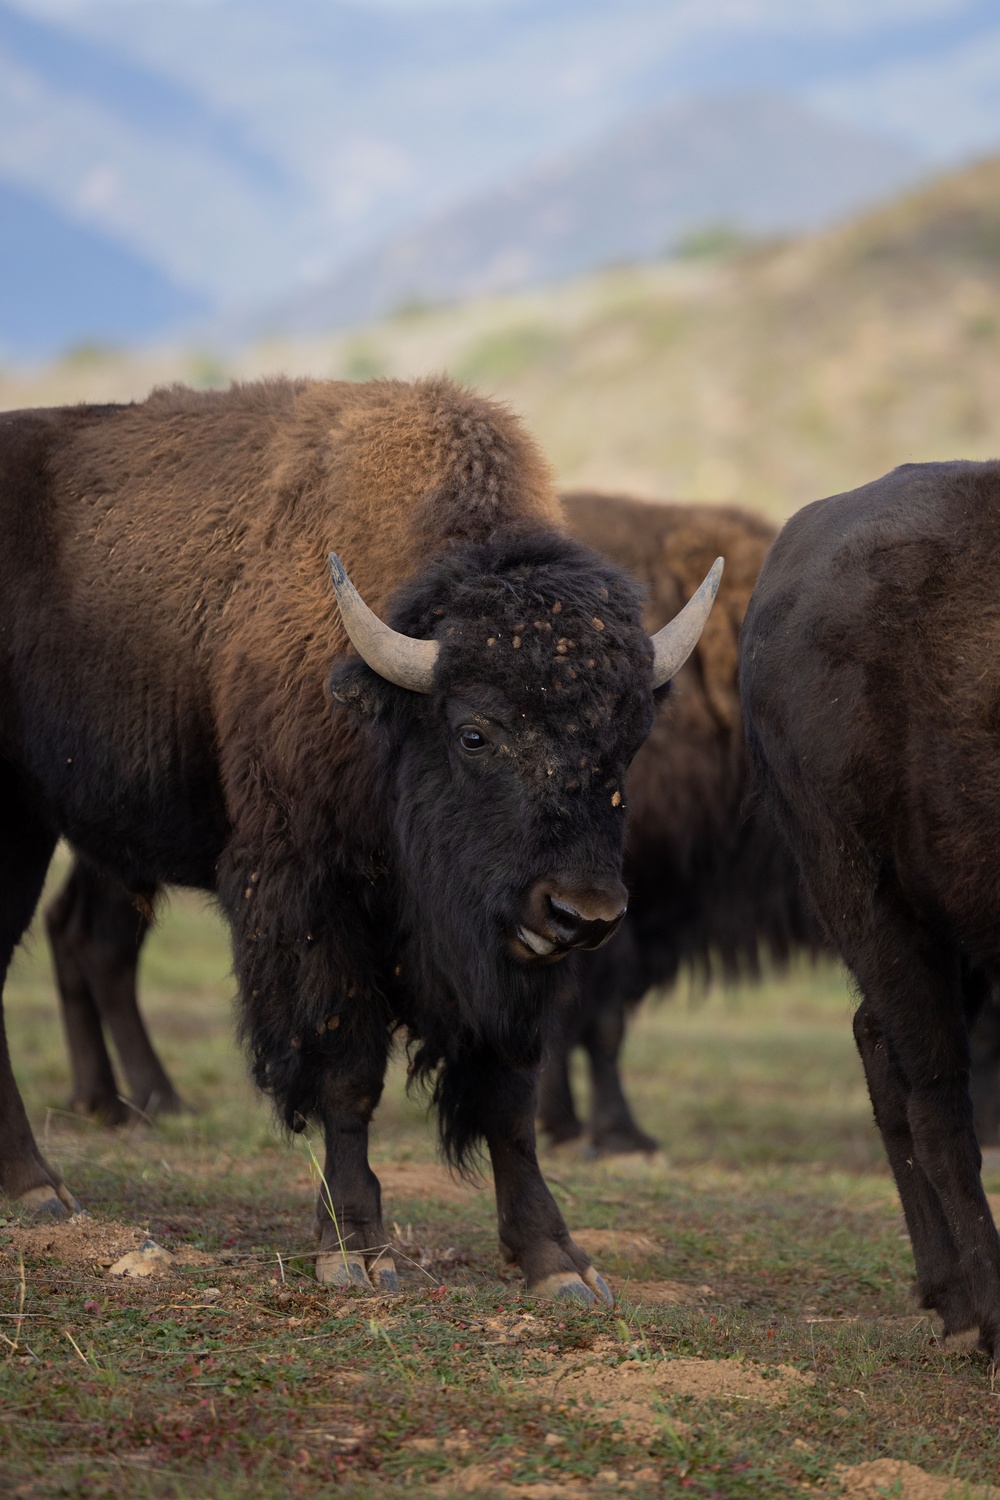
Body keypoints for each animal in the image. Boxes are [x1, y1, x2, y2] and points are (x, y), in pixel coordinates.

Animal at [0, 378, 722, 1302]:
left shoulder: (503, 970)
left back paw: (41, 1180)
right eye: (475, 733)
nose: (580, 913)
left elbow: (510, 1096)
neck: (386, 710)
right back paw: (42, 1188)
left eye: (628, 742)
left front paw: (556, 1260)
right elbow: (347, 1073)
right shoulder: (315, 903)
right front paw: (357, 1249)